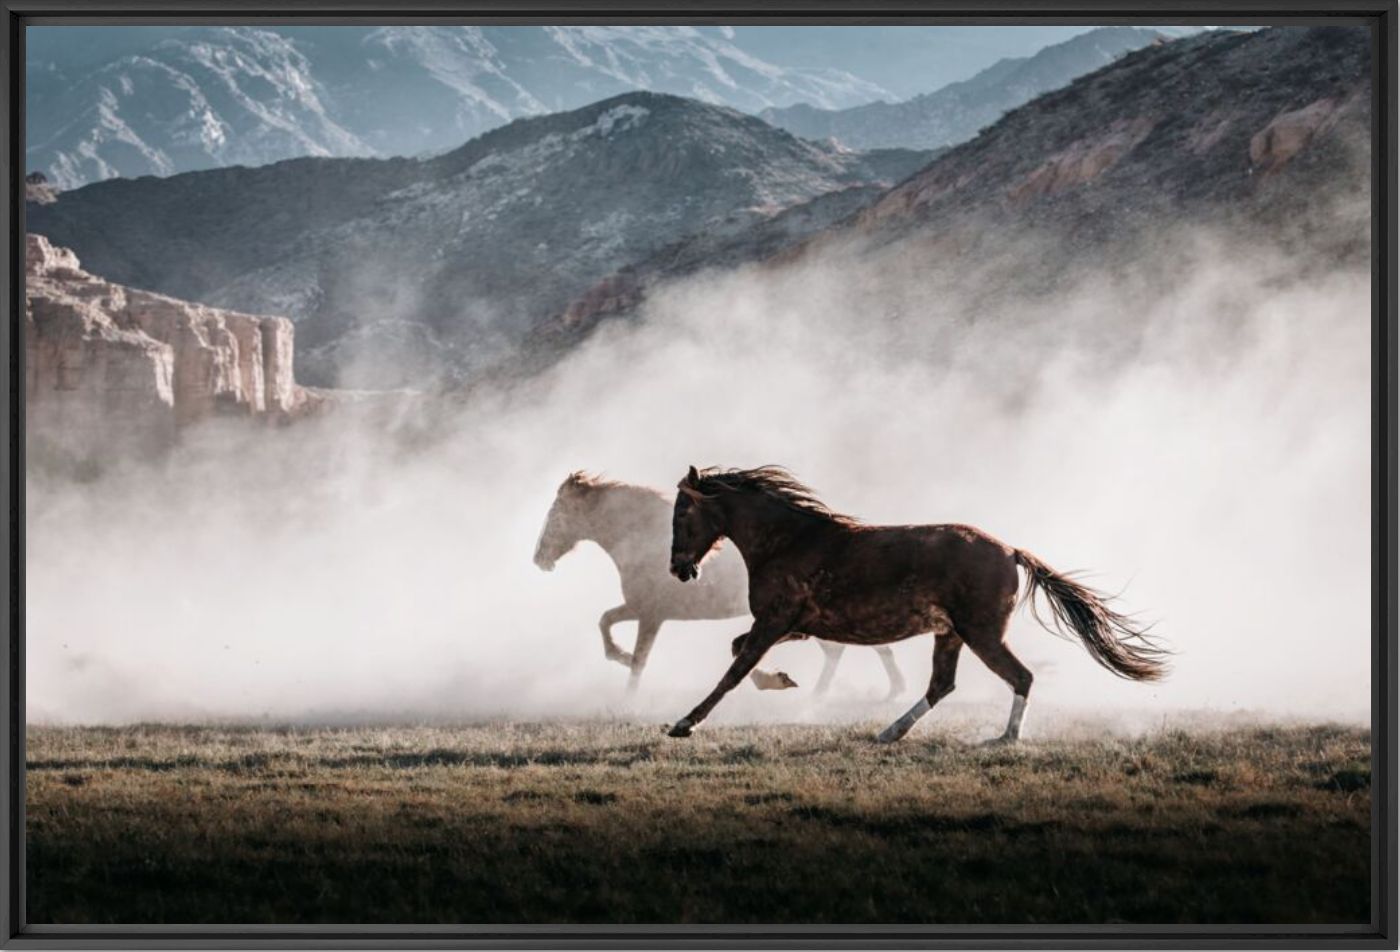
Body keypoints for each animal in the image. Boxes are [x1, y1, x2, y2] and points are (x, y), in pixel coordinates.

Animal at [533, 471, 908, 696]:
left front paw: (627, 700)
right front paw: (620, 658)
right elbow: (606, 622)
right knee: (855, 649)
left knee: (854, 649)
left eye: (555, 513)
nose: (539, 558)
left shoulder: (651, 615)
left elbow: (638, 658)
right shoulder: (641, 609)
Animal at [665, 465, 1169, 743]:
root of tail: (1011, 551)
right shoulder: (794, 625)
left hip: (982, 633)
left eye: (682, 512)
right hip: (951, 634)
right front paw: (782, 680)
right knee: (942, 685)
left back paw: (1004, 739)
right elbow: (738, 652)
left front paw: (684, 724)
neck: (788, 541)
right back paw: (890, 732)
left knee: (1019, 677)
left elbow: (733, 672)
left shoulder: (774, 621)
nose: (678, 568)